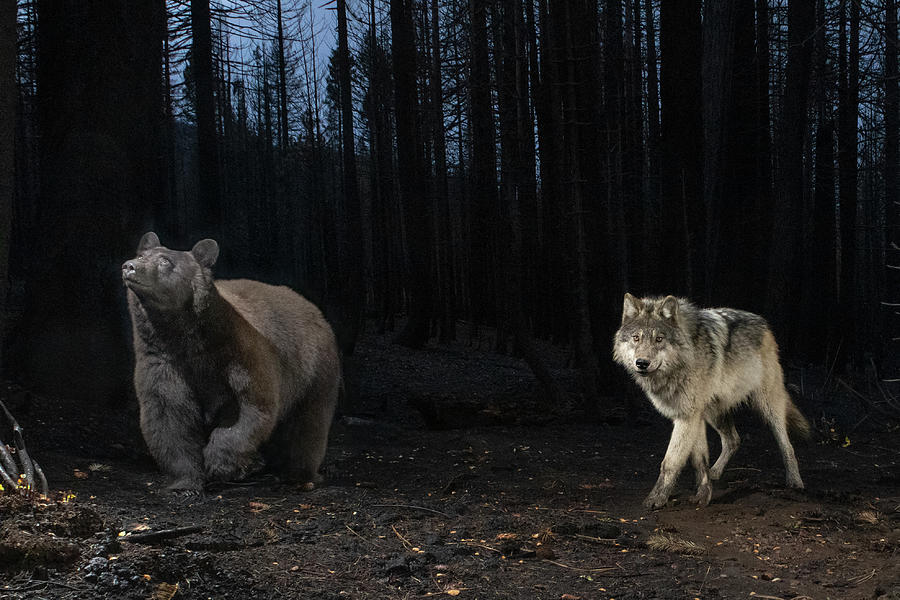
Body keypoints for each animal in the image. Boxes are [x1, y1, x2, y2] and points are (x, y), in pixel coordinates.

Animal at [121, 231, 340, 492]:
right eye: (141, 255)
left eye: (165, 260)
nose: (130, 266)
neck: (182, 336)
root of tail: (314, 309)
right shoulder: (162, 360)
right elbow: (168, 415)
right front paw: (185, 482)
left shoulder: (238, 354)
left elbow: (252, 407)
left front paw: (219, 464)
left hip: (313, 370)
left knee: (307, 426)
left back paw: (299, 476)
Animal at [612, 292, 808, 508]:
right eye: (636, 338)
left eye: (659, 339)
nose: (642, 363)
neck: (685, 358)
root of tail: (764, 324)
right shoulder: (693, 414)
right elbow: (699, 459)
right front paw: (704, 493)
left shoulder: (687, 416)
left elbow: (670, 462)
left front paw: (656, 499)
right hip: (713, 412)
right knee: (733, 440)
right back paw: (715, 472)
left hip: (768, 406)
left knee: (786, 445)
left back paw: (795, 482)